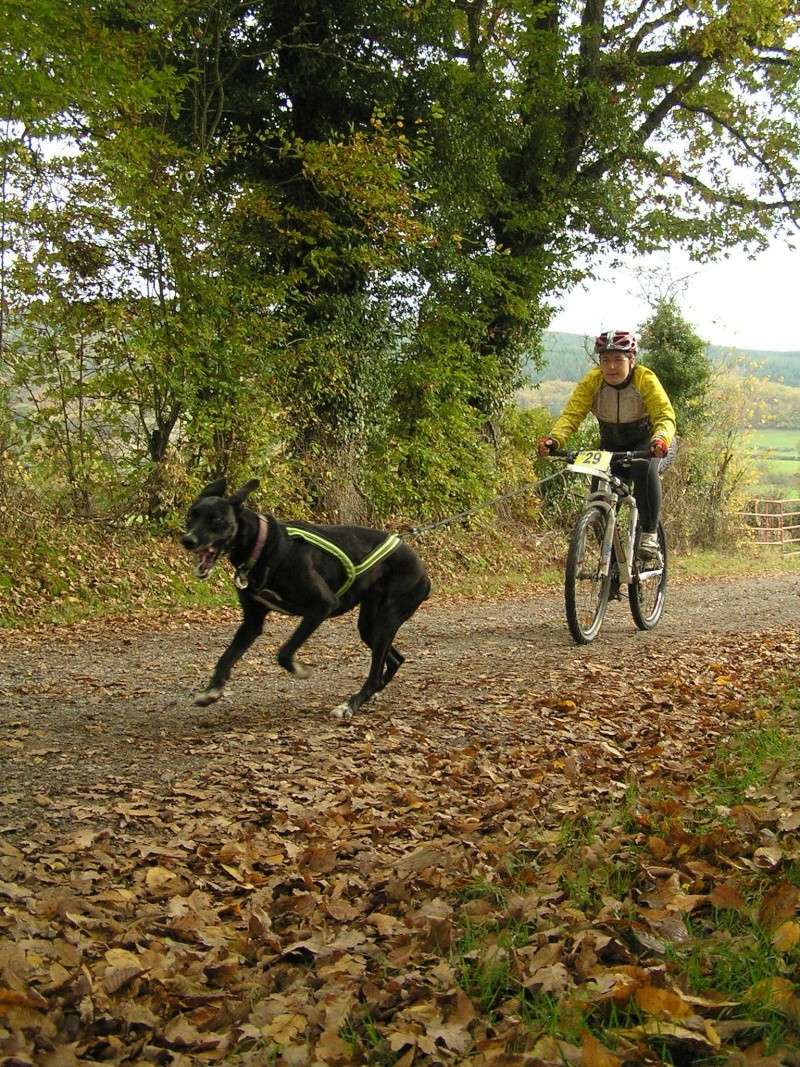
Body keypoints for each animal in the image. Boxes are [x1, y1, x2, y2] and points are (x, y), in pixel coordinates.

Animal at [181, 480, 433, 721]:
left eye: (216, 520)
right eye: (191, 515)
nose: (187, 540)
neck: (264, 545)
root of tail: (424, 573)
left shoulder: (321, 606)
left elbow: (284, 652)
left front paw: (299, 669)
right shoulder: (252, 622)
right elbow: (226, 657)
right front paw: (211, 691)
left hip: (386, 621)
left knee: (375, 673)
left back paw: (349, 705)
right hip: (370, 626)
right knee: (395, 660)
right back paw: (373, 693)